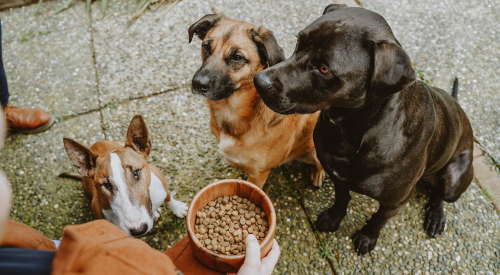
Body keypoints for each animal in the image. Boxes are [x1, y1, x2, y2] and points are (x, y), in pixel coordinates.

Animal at [254, 4, 472, 256]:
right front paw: (333, 218)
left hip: (454, 180)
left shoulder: (394, 202)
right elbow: (341, 199)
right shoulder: (336, 175)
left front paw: (367, 236)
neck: (349, 128)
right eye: (299, 42)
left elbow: (378, 219)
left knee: (440, 195)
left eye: (324, 69)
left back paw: (436, 216)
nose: (259, 82)